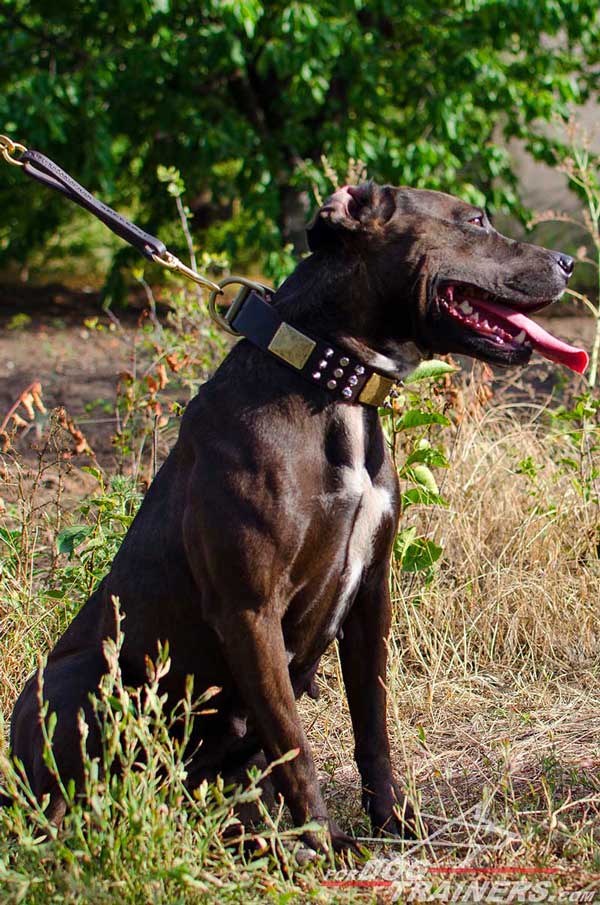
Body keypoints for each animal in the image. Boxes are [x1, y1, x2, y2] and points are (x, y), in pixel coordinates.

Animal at [9, 182, 584, 848]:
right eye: (475, 221)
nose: (569, 262)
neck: (331, 380)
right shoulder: (250, 611)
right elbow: (293, 745)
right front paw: (326, 844)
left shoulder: (369, 598)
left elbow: (372, 725)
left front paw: (392, 821)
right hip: (75, 680)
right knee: (73, 790)